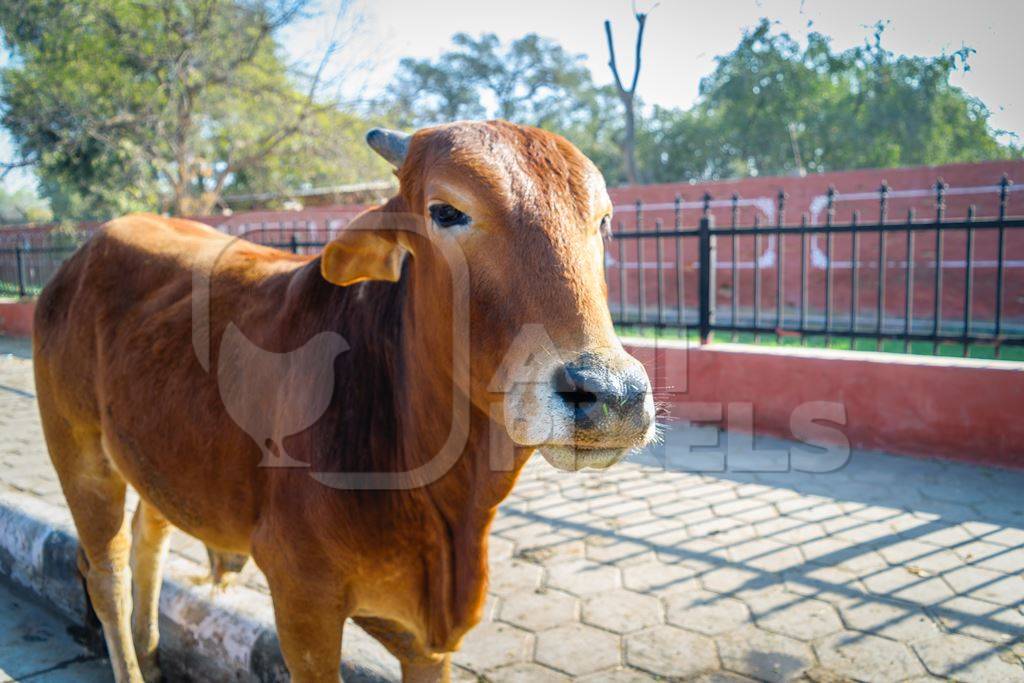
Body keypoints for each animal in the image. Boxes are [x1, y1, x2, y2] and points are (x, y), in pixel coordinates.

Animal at [36, 122, 655, 683]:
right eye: (446, 211)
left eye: (603, 220)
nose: (613, 394)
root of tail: (83, 252)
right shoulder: (302, 602)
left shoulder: (427, 641)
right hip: (78, 449)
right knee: (107, 573)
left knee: (151, 534)